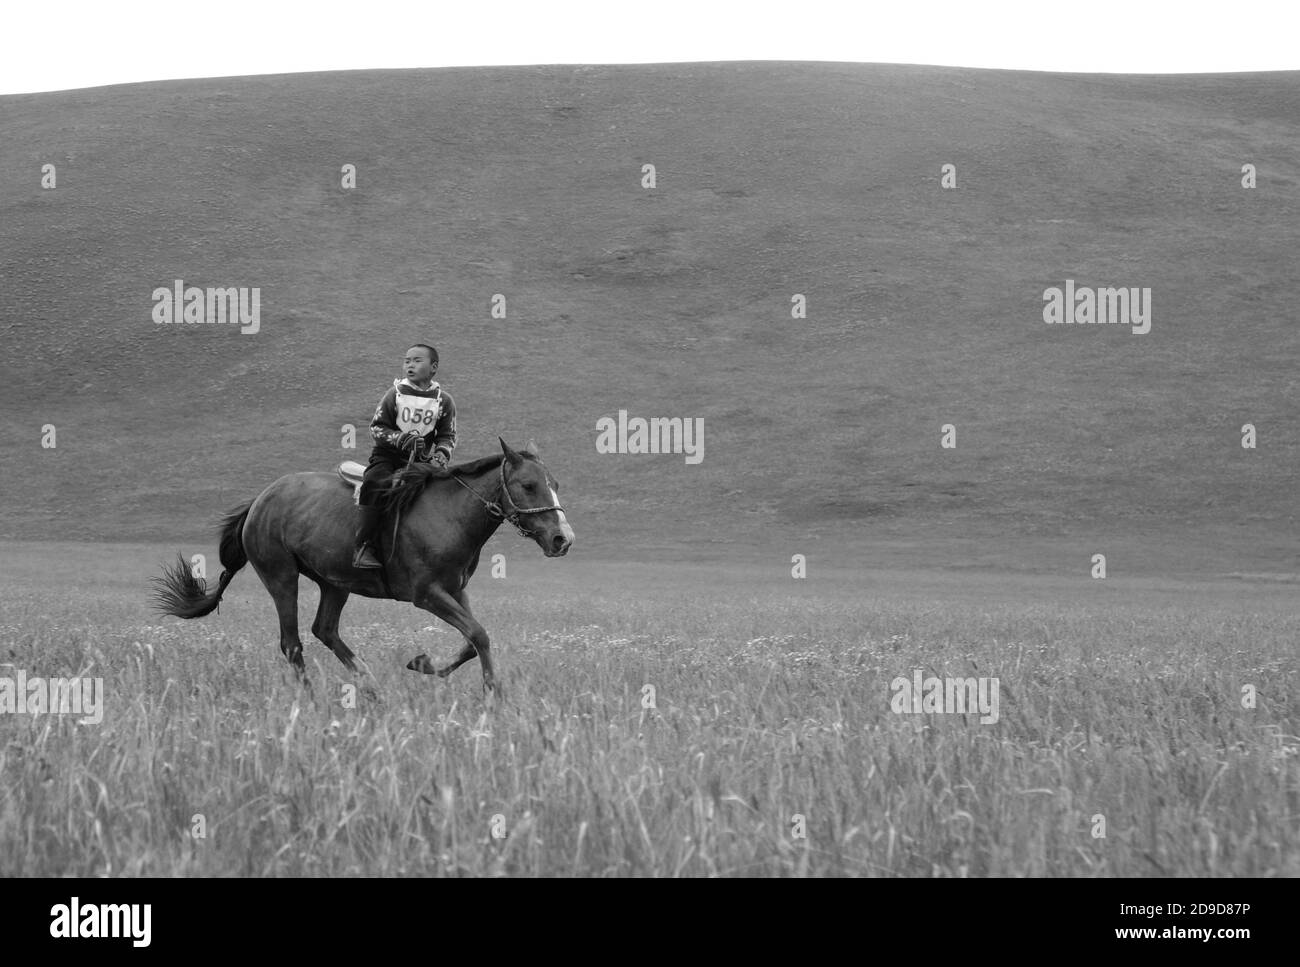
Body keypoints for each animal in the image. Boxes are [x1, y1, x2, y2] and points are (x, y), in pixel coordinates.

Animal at [150, 434, 574, 691]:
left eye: (554, 484)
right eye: (528, 485)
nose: (563, 539)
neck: (450, 514)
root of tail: (260, 500)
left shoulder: (454, 590)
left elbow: (472, 639)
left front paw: (422, 663)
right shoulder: (427, 594)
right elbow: (479, 634)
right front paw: (492, 690)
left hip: (334, 582)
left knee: (324, 630)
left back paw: (369, 685)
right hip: (281, 576)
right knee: (292, 643)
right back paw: (313, 697)